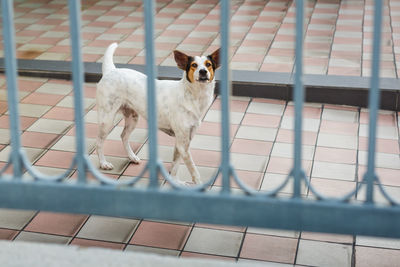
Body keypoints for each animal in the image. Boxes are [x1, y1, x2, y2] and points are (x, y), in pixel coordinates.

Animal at [95, 43, 220, 185]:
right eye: (194, 65)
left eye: (208, 64)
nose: (203, 71)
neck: (193, 96)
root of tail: (111, 70)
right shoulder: (183, 144)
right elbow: (193, 170)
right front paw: (197, 184)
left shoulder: (182, 141)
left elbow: (175, 165)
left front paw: (175, 181)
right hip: (106, 120)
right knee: (99, 142)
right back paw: (103, 163)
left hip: (133, 118)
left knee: (124, 136)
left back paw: (132, 157)